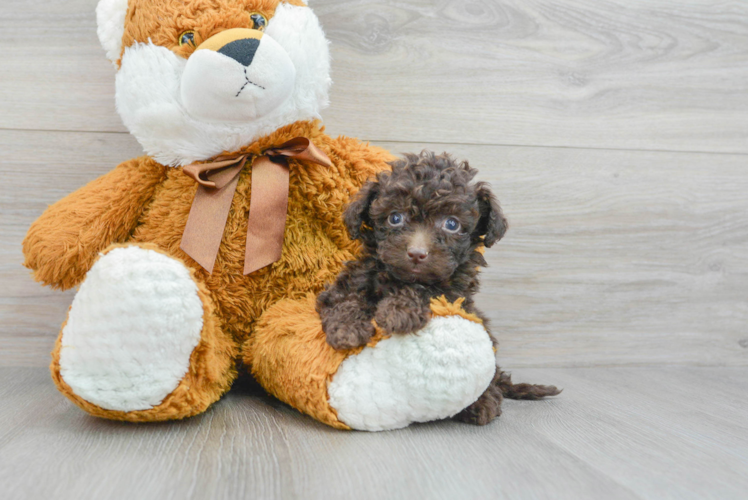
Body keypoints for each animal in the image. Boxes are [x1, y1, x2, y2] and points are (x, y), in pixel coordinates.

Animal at [312, 151, 560, 426]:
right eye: (395, 218)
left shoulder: (453, 293)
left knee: (492, 377)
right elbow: (345, 299)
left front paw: (399, 311)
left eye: (451, 224)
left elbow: (425, 289)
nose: (416, 254)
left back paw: (483, 402)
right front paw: (347, 329)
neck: (400, 279)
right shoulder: (348, 281)